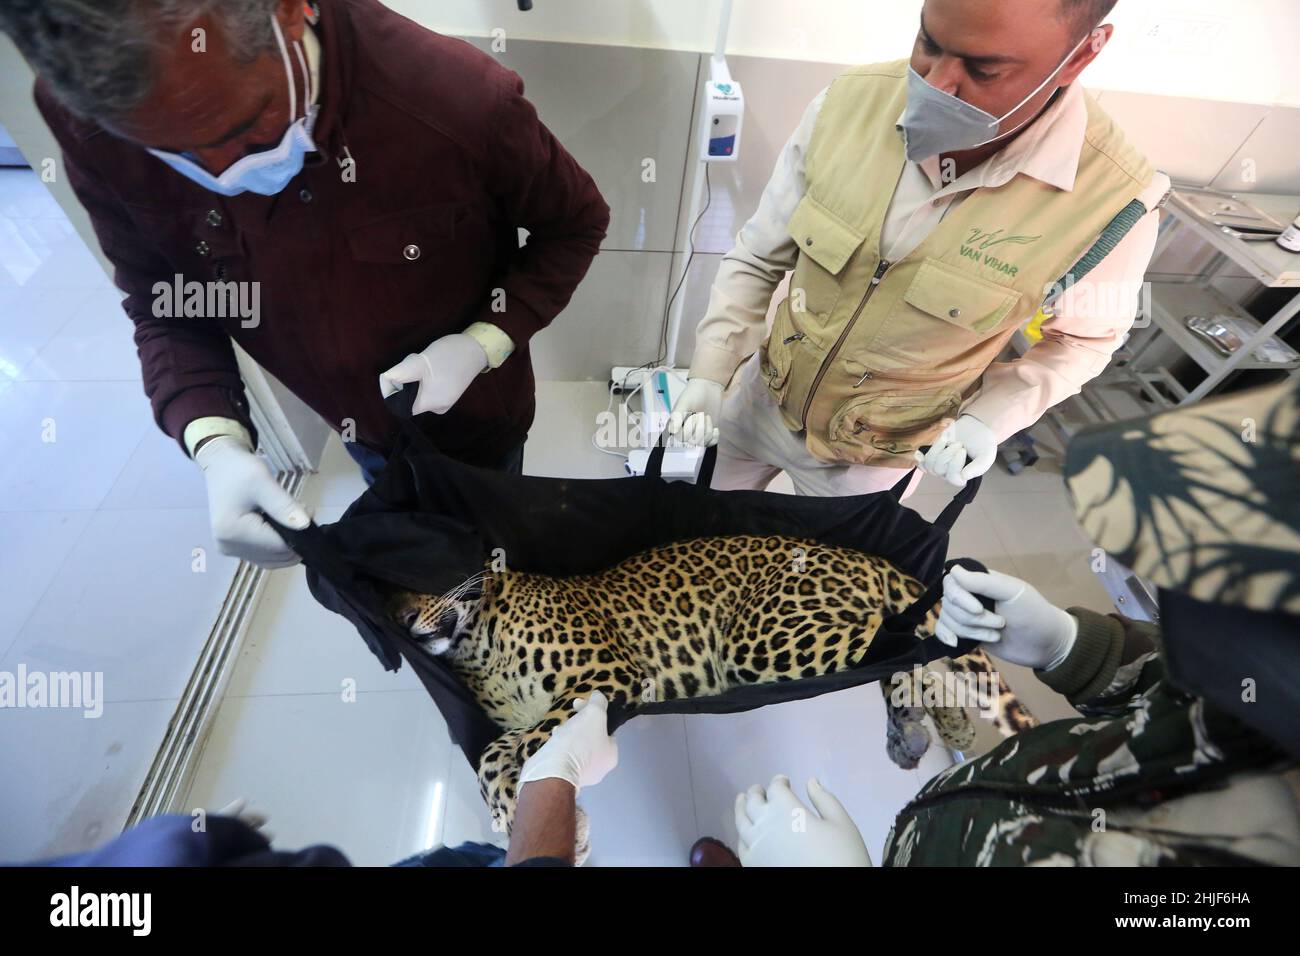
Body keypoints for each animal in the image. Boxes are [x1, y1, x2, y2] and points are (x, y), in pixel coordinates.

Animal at [388, 534, 1035, 856]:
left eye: (424, 575)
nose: (400, 620)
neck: (475, 650)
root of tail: (858, 553)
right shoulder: (527, 714)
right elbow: (506, 755)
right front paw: (541, 823)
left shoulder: (606, 674)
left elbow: (518, 753)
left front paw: (540, 819)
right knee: (906, 647)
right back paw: (928, 728)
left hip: (765, 639)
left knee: (904, 640)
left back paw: (930, 719)